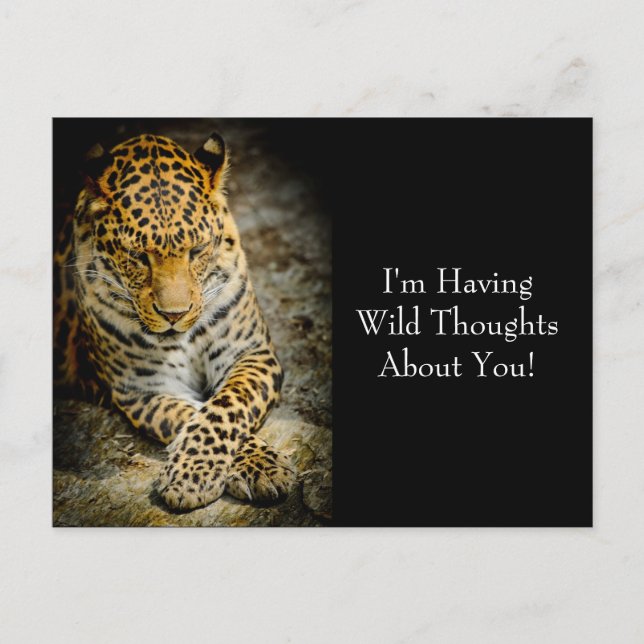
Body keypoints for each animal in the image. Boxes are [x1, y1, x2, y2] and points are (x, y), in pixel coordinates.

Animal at [53, 132, 296, 511]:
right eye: (138, 255)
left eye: (196, 251)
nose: (174, 315)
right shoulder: (144, 389)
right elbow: (192, 415)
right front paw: (201, 474)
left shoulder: (251, 354)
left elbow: (224, 407)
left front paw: (257, 466)